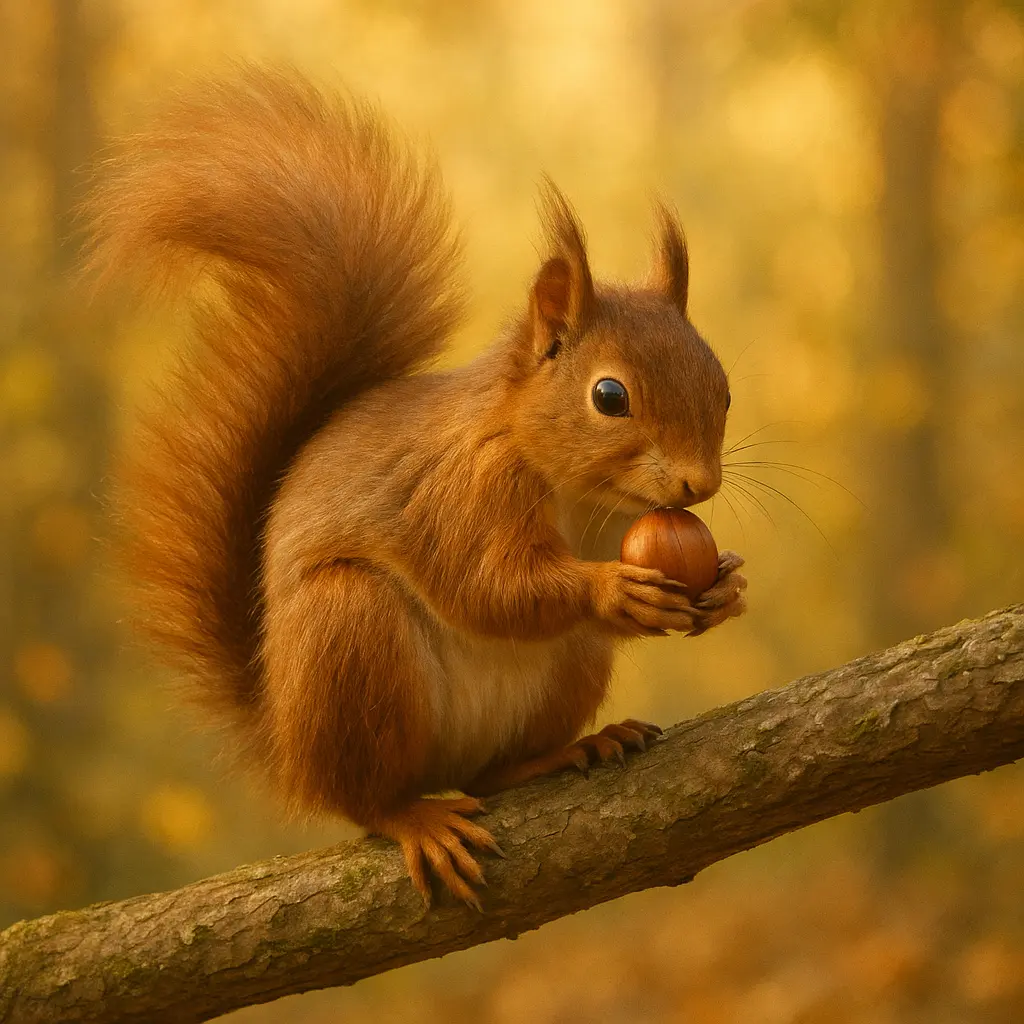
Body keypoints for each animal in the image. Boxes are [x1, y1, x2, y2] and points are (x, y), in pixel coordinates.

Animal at [86, 67, 747, 909]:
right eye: (609, 396)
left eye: (722, 388)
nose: (699, 483)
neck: (582, 497)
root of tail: (286, 743)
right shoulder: (459, 495)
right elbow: (488, 586)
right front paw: (611, 589)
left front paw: (725, 587)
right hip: (350, 637)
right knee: (367, 798)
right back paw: (413, 817)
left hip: (570, 668)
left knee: (490, 773)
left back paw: (569, 749)